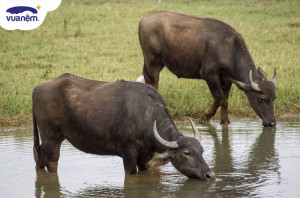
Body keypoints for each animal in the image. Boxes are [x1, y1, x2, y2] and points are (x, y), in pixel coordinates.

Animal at [32, 73, 214, 180]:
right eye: (187, 153)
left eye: (202, 151)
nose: (210, 174)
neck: (146, 117)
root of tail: (37, 88)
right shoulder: (128, 154)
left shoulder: (146, 156)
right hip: (52, 137)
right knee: (51, 162)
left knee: (39, 156)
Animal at [137, 11, 278, 127]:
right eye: (262, 99)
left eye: (274, 98)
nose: (272, 123)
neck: (230, 50)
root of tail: (144, 19)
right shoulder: (210, 75)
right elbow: (219, 98)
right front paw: (204, 117)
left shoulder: (227, 79)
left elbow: (225, 101)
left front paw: (225, 122)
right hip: (152, 62)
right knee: (153, 84)